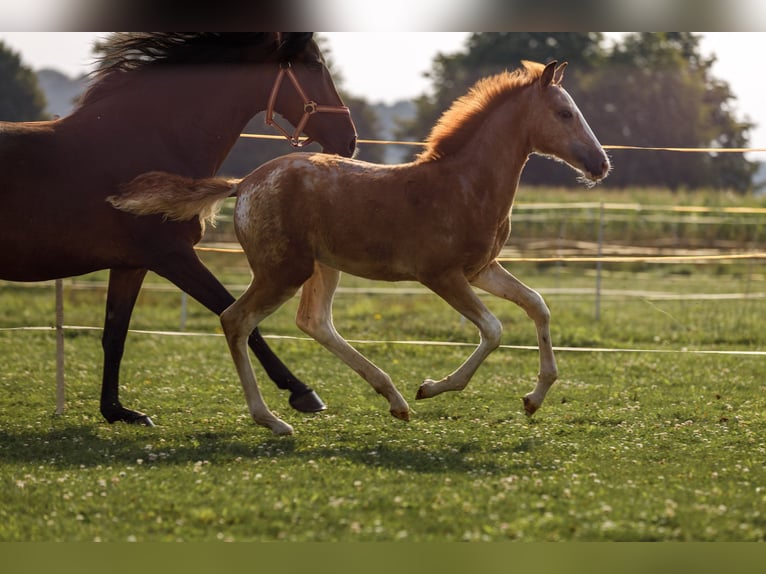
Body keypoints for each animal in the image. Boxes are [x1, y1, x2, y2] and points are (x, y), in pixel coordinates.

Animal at [0, 33, 357, 426]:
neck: (152, 142)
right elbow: (235, 314)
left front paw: (118, 411)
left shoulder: (131, 265)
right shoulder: (173, 256)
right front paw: (302, 392)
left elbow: (115, 335)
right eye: (314, 65)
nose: (350, 140)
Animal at [110, 60, 610, 435]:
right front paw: (433, 387)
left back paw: (392, 399)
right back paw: (273, 419)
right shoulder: (442, 276)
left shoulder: (481, 269)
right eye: (565, 113)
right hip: (281, 271)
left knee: (313, 321)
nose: (600, 164)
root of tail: (245, 182)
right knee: (236, 320)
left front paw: (534, 397)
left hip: (320, 267)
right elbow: (493, 329)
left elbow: (538, 305)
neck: (463, 184)